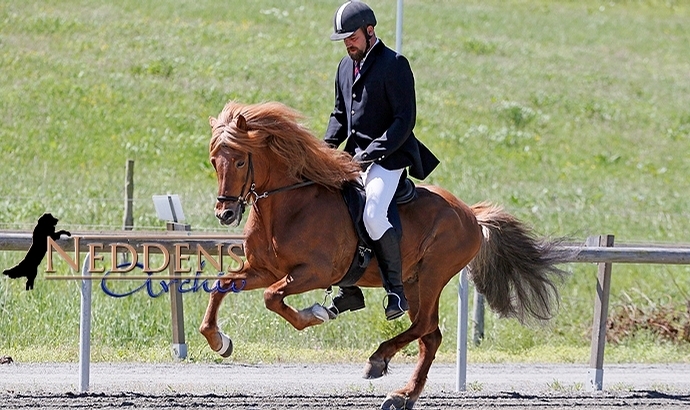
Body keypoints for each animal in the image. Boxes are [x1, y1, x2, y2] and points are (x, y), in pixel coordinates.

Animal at [196, 100, 568, 410]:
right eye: (214, 162)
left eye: (240, 160)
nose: (225, 214)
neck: (289, 206)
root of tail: (471, 214)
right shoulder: (264, 270)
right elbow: (222, 286)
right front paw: (219, 341)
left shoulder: (314, 272)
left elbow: (272, 298)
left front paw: (316, 314)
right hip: (414, 281)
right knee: (430, 337)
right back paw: (403, 395)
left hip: (433, 275)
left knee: (424, 325)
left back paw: (379, 360)